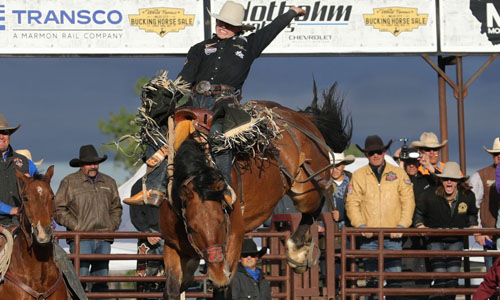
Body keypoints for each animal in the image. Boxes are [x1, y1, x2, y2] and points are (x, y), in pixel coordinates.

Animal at [159, 82, 352, 300]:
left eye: (222, 222)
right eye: (191, 228)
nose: (218, 276)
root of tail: (304, 119)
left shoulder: (234, 240)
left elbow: (223, 289)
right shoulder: (174, 247)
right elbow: (171, 289)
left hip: (306, 190)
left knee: (315, 207)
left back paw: (297, 253)